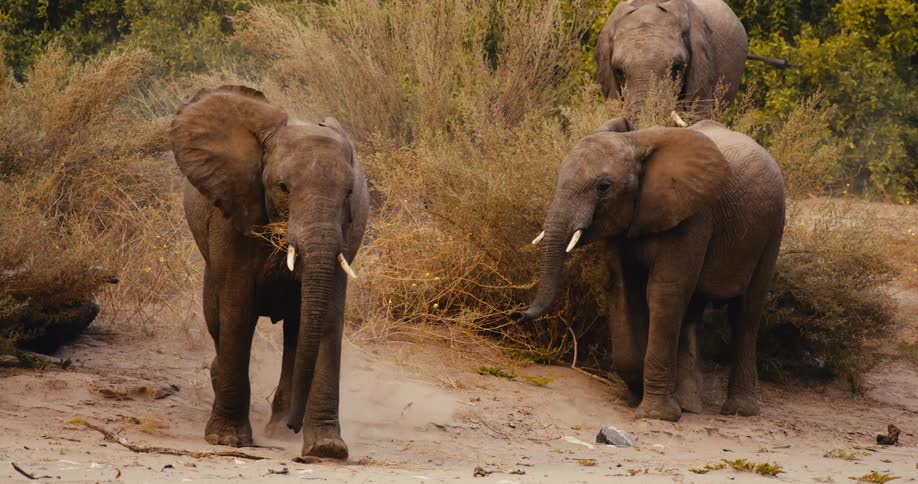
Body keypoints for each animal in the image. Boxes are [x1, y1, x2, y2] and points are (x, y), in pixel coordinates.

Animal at [170, 85, 369, 459]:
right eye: (283, 187)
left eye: (350, 193)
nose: (294, 425)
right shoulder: (232, 213)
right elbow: (237, 309)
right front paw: (227, 439)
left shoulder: (347, 235)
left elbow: (329, 316)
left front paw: (326, 449)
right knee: (216, 316)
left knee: (297, 327)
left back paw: (280, 431)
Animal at [512, 117, 785, 422]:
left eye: (603, 187)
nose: (516, 315)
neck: (636, 142)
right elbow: (623, 287)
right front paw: (638, 393)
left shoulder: (693, 215)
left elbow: (664, 291)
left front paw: (657, 415)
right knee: (692, 311)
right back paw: (689, 404)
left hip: (773, 227)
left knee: (746, 312)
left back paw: (739, 411)